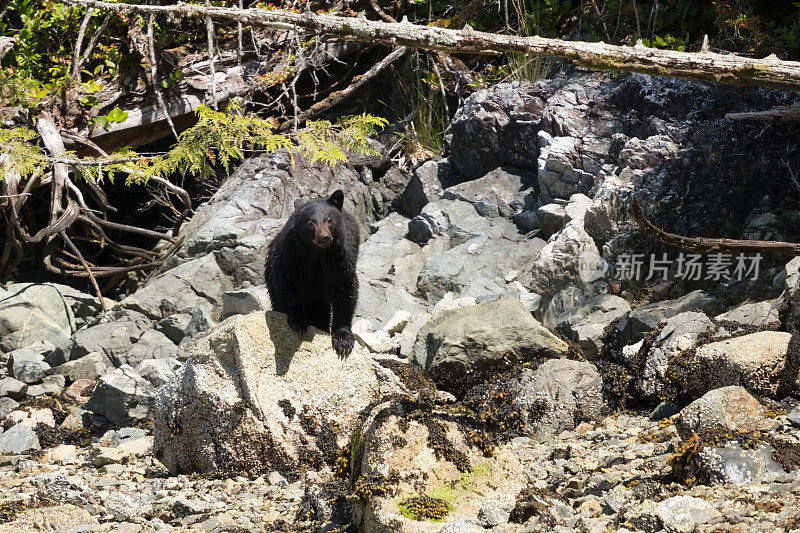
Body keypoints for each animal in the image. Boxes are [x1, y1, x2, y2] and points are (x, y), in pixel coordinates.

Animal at [266, 189, 360, 356]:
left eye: (329, 220)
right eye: (310, 223)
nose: (324, 237)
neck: (318, 253)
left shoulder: (341, 260)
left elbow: (346, 289)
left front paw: (343, 340)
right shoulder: (291, 255)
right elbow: (286, 283)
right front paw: (298, 320)